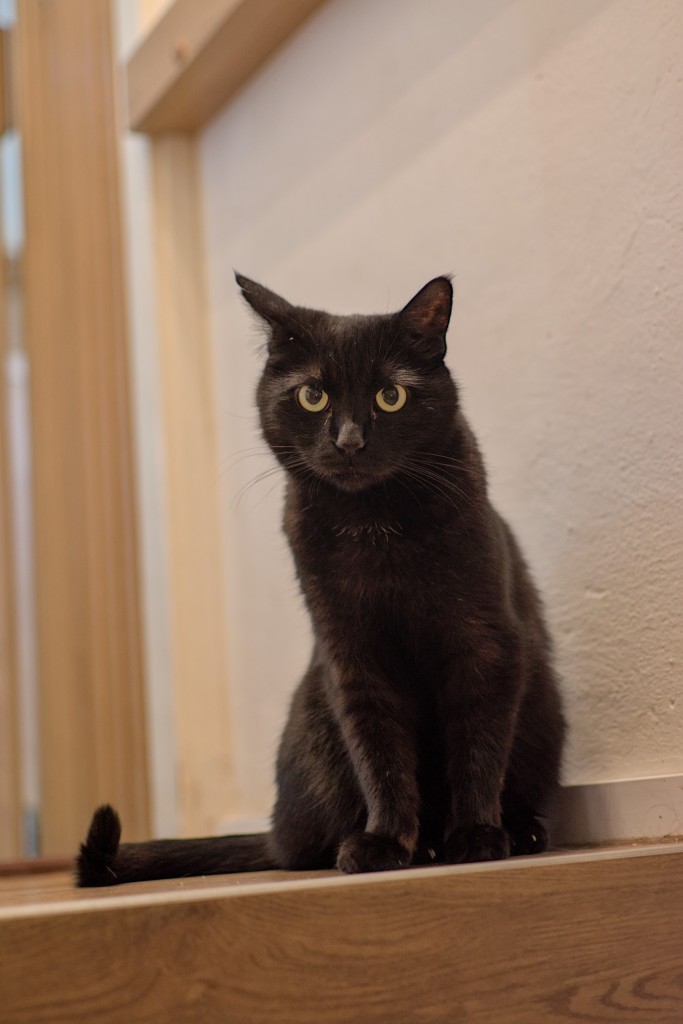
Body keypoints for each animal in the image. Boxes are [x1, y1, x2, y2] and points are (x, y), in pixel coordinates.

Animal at [76, 274, 565, 888]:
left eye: (390, 396)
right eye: (314, 396)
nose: (350, 441)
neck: (374, 526)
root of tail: (271, 832)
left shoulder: (485, 641)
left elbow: (478, 744)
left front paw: (475, 835)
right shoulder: (351, 655)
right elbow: (379, 753)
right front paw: (386, 841)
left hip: (544, 705)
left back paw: (515, 831)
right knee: (305, 842)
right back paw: (410, 844)